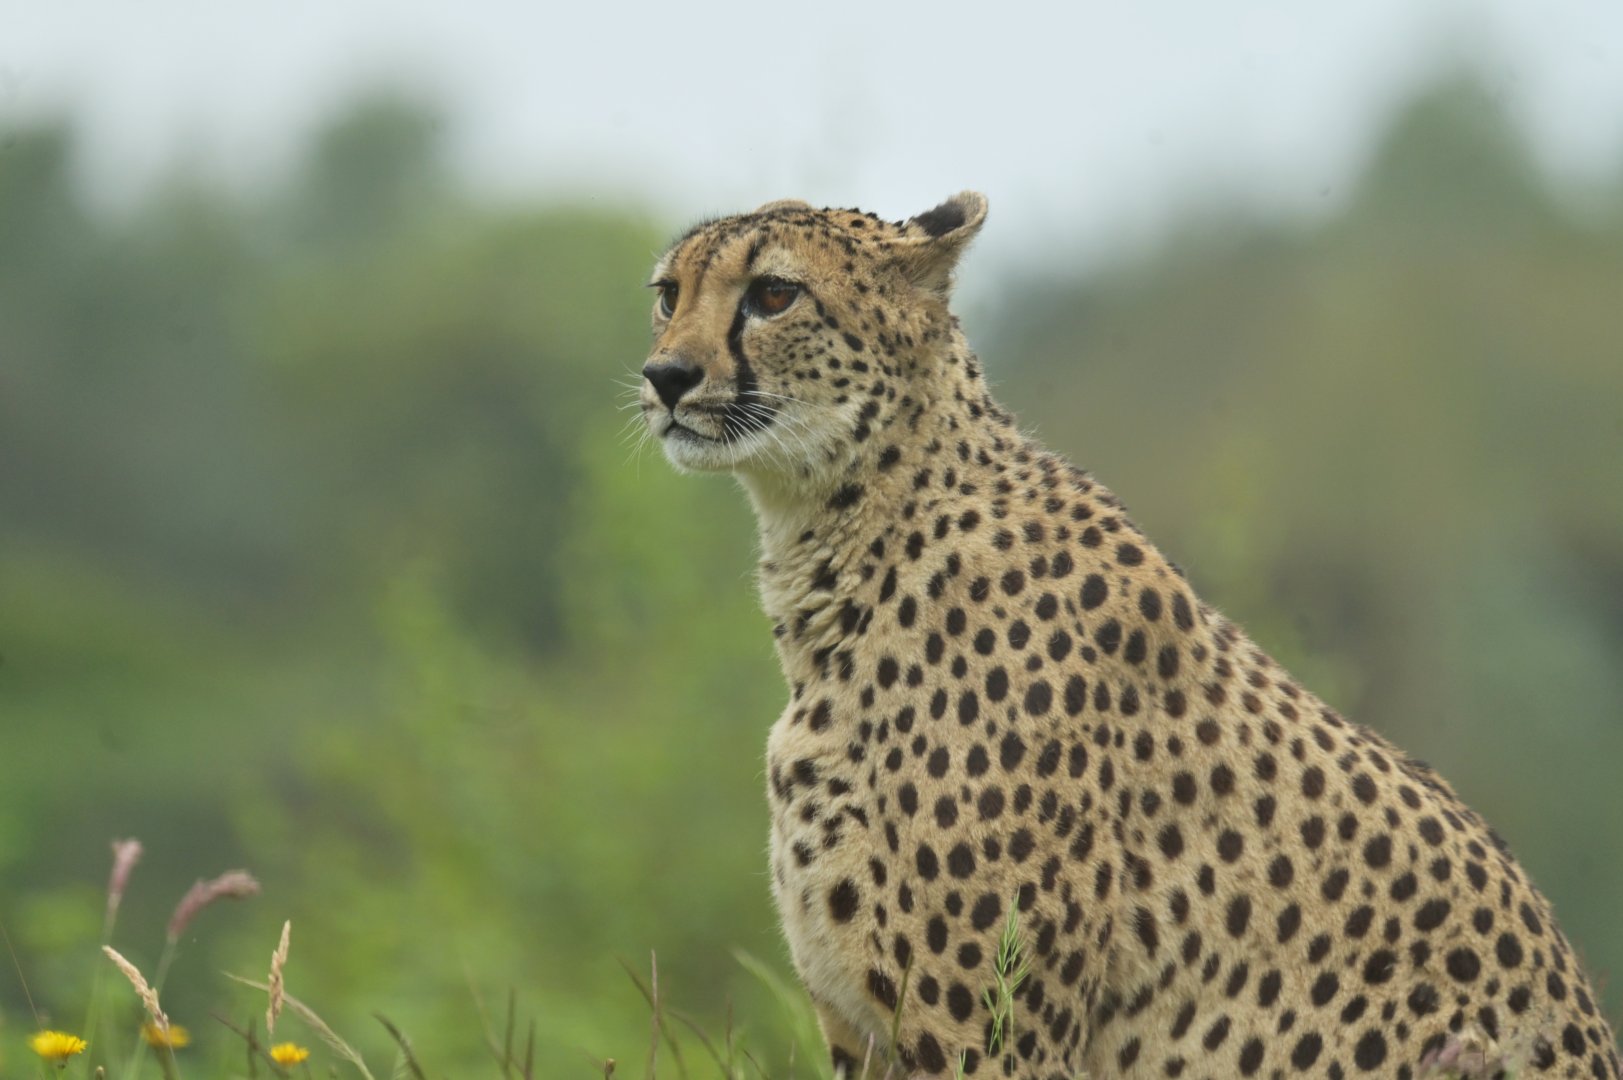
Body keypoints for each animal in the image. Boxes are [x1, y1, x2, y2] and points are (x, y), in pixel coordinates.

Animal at [635, 191, 1620, 1079]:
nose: (664, 378)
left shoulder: (992, 1040)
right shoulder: (864, 1036)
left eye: (772, 294)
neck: (847, 548)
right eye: (667, 293)